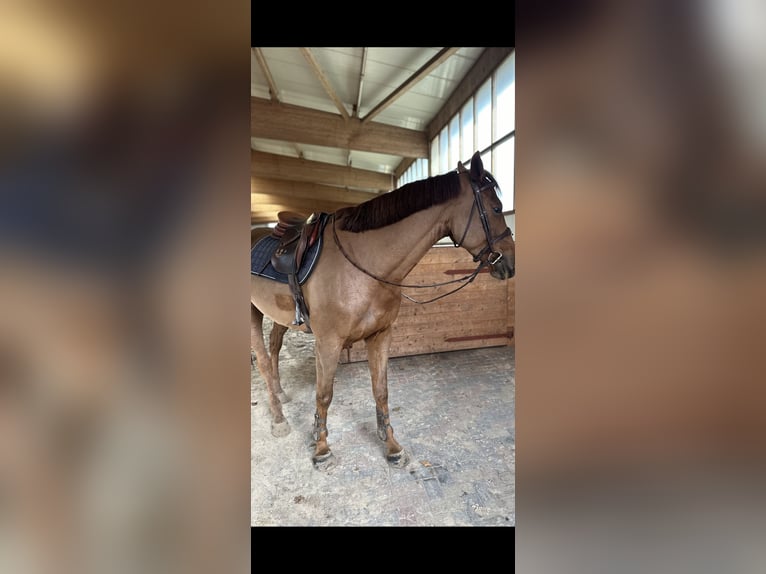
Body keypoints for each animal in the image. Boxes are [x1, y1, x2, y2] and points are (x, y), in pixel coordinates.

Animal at [252, 153, 516, 472]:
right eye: (496, 208)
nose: (510, 262)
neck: (363, 265)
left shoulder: (380, 335)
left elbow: (381, 390)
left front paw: (391, 445)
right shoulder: (328, 343)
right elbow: (324, 394)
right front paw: (322, 449)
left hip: (281, 316)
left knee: (275, 347)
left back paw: (281, 394)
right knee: (263, 362)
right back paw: (279, 419)